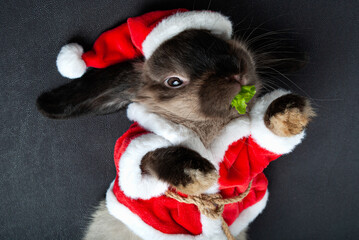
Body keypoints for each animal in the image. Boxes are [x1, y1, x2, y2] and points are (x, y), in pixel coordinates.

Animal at [37, 14, 316, 240]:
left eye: (217, 41)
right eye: (174, 81)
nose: (234, 72)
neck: (207, 129)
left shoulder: (250, 151)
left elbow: (267, 136)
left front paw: (288, 110)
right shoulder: (137, 153)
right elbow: (145, 156)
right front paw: (196, 172)